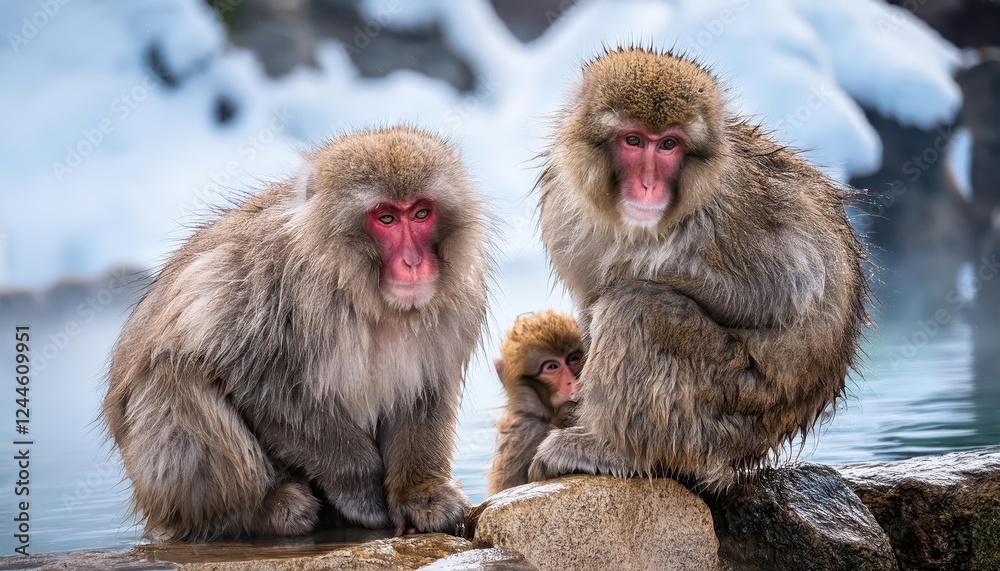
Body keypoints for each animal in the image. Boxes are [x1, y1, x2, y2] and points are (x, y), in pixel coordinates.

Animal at [102, 126, 491, 541]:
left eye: (420, 213)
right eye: (386, 218)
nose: (414, 262)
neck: (359, 288)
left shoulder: (458, 300)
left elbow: (425, 387)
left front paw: (421, 494)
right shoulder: (265, 287)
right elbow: (260, 386)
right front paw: (361, 492)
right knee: (174, 374)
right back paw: (260, 511)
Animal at [527, 47, 869, 489]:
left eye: (668, 145)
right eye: (633, 140)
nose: (648, 186)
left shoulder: (735, 212)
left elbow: (791, 289)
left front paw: (650, 265)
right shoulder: (563, 208)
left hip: (728, 405)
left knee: (634, 309)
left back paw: (615, 449)